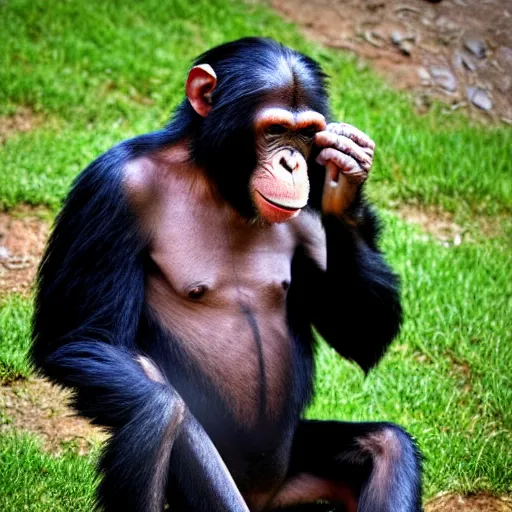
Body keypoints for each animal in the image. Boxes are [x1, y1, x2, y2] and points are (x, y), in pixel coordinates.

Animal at [30, 37, 420, 512]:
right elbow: (81, 337)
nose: (293, 163)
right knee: (162, 413)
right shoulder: (111, 189)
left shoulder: (310, 212)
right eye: (274, 130)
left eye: (306, 134)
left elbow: (361, 337)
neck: (216, 180)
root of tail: (266, 499)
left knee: (389, 445)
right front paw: (159, 408)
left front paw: (346, 175)